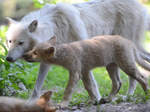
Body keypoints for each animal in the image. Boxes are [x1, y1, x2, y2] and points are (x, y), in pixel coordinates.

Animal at [5, 0, 150, 106]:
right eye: (10, 41)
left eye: (21, 43)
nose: (8, 58)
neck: (54, 27)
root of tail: (140, 6)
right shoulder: (47, 60)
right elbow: (37, 86)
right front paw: (30, 103)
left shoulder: (82, 57)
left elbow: (91, 82)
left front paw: (97, 98)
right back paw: (128, 95)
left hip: (129, 49)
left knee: (135, 74)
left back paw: (128, 95)